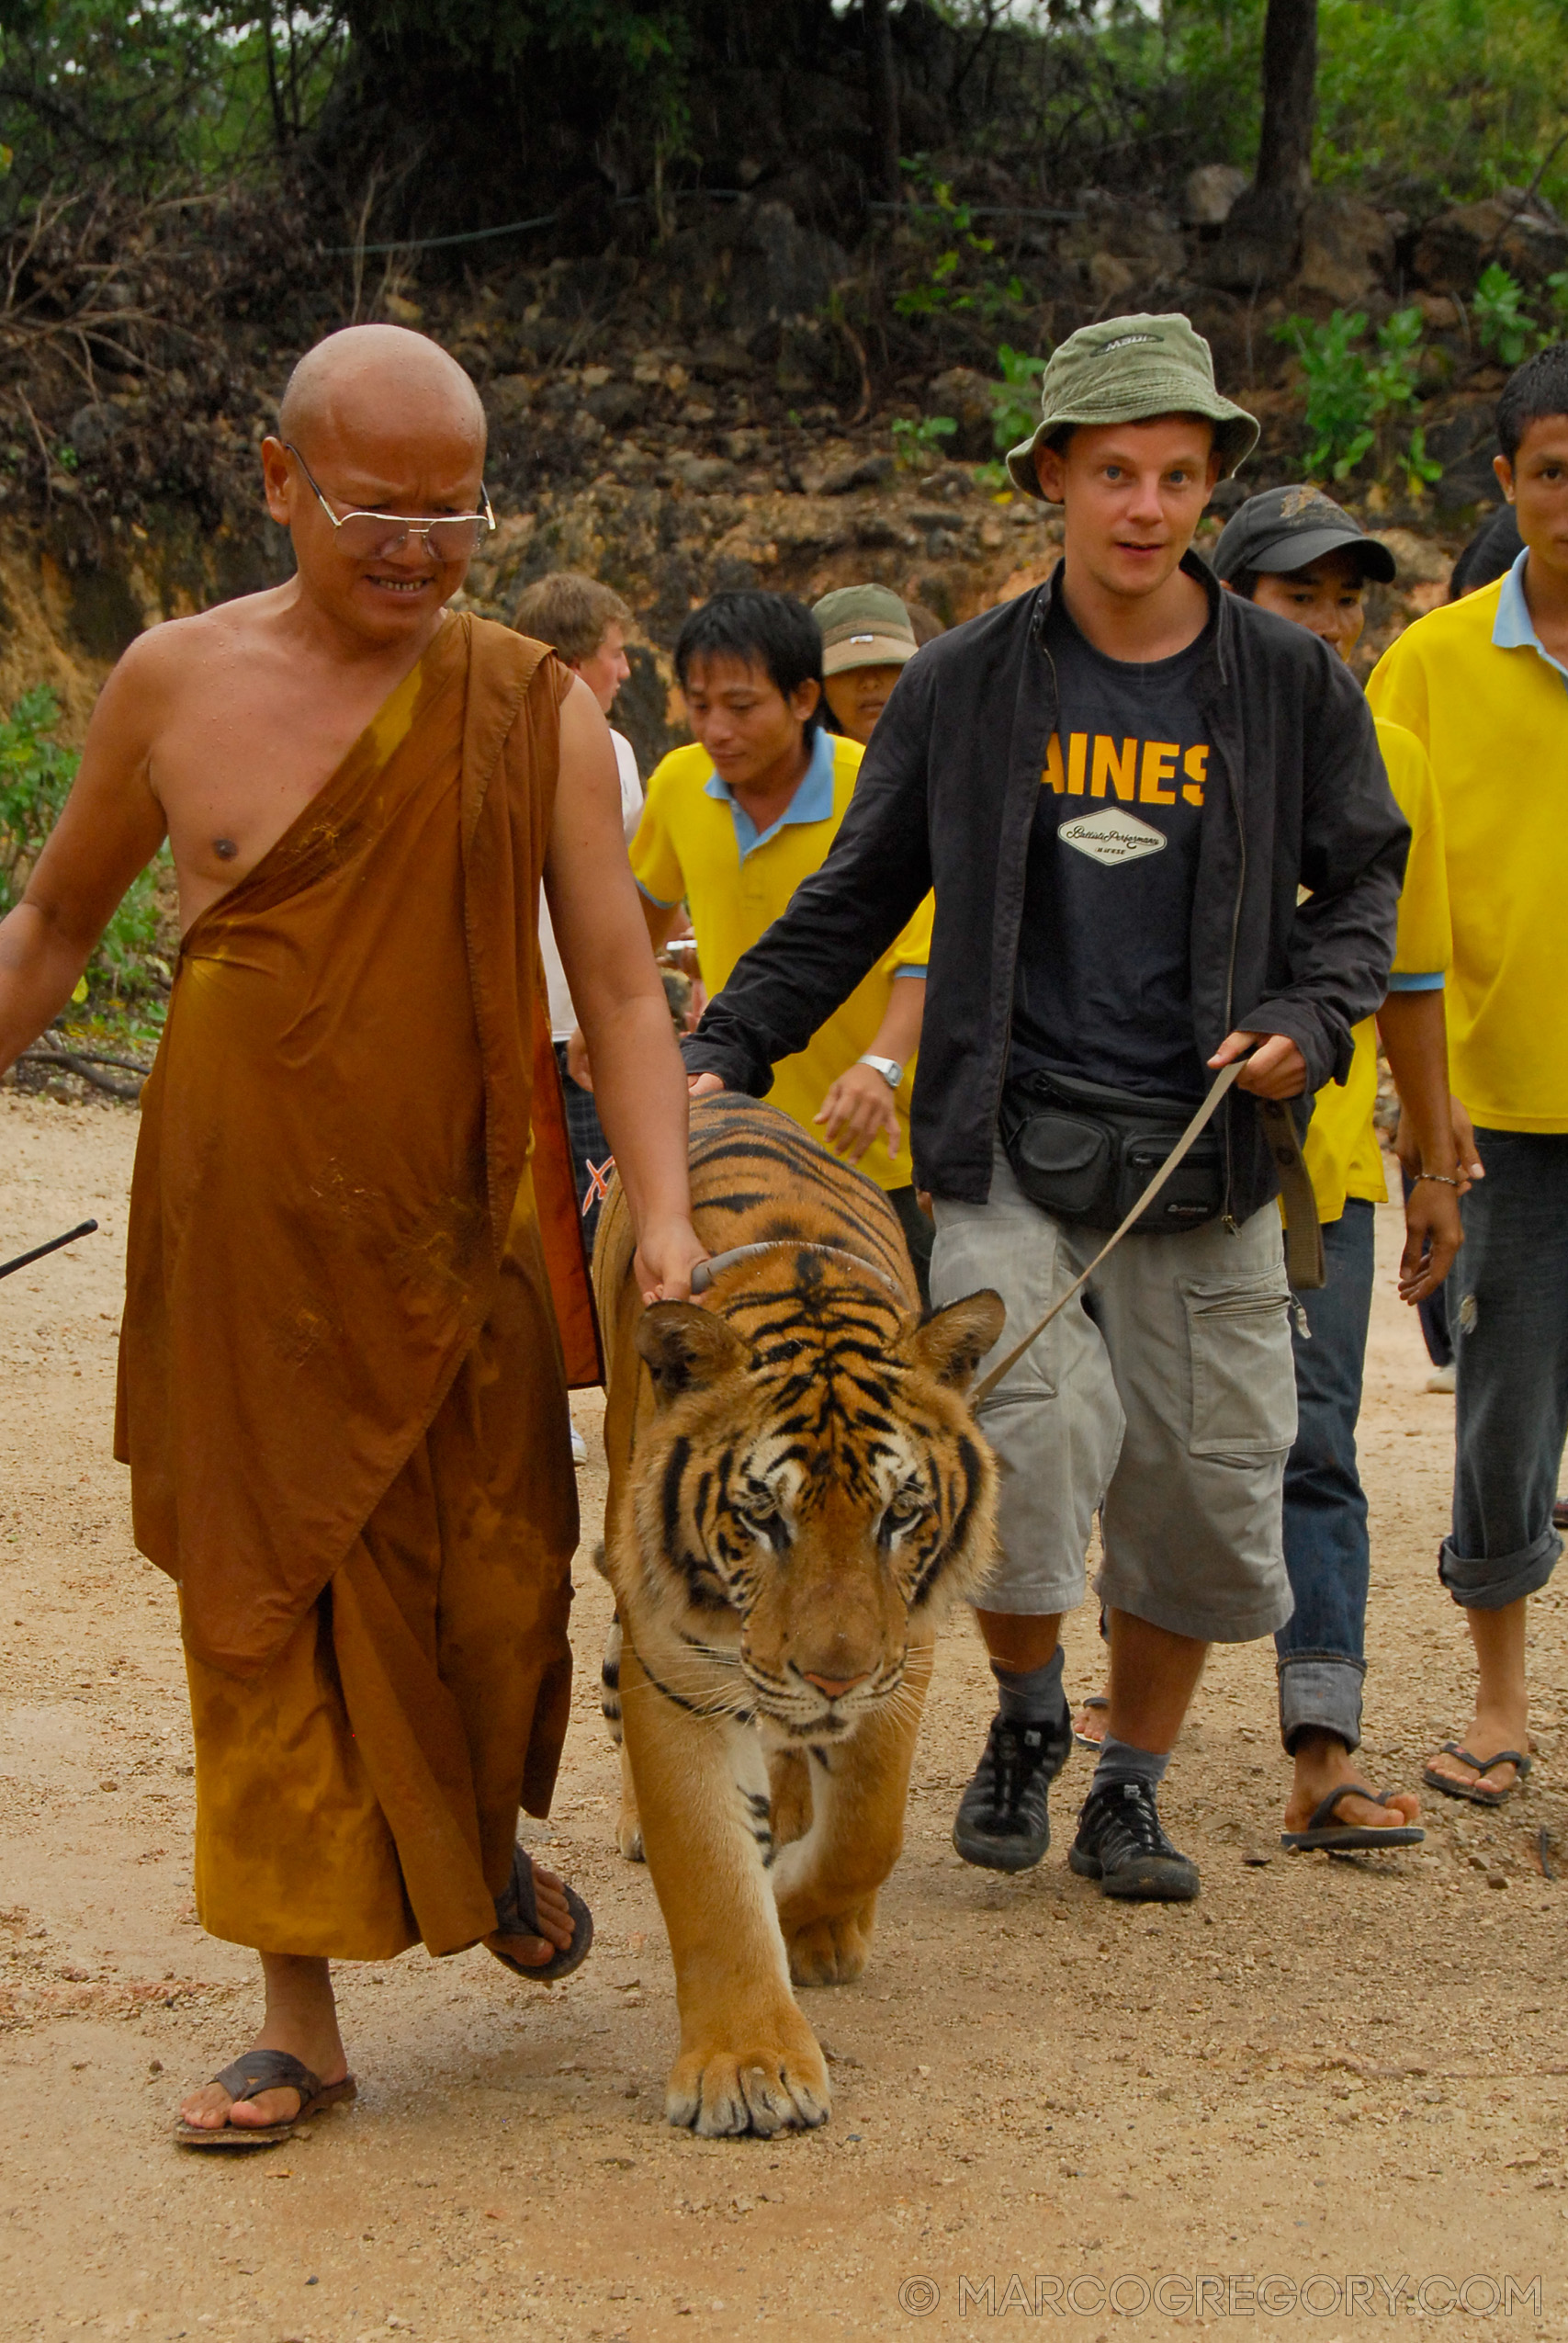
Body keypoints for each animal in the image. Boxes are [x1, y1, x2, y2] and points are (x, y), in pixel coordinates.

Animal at [592, 1087, 998, 2136]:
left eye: (901, 1512)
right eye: (761, 1515)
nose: (832, 1677)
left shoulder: (904, 1655)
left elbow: (867, 1831)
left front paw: (807, 1912)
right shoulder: (677, 1666)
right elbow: (710, 1879)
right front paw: (746, 2065)